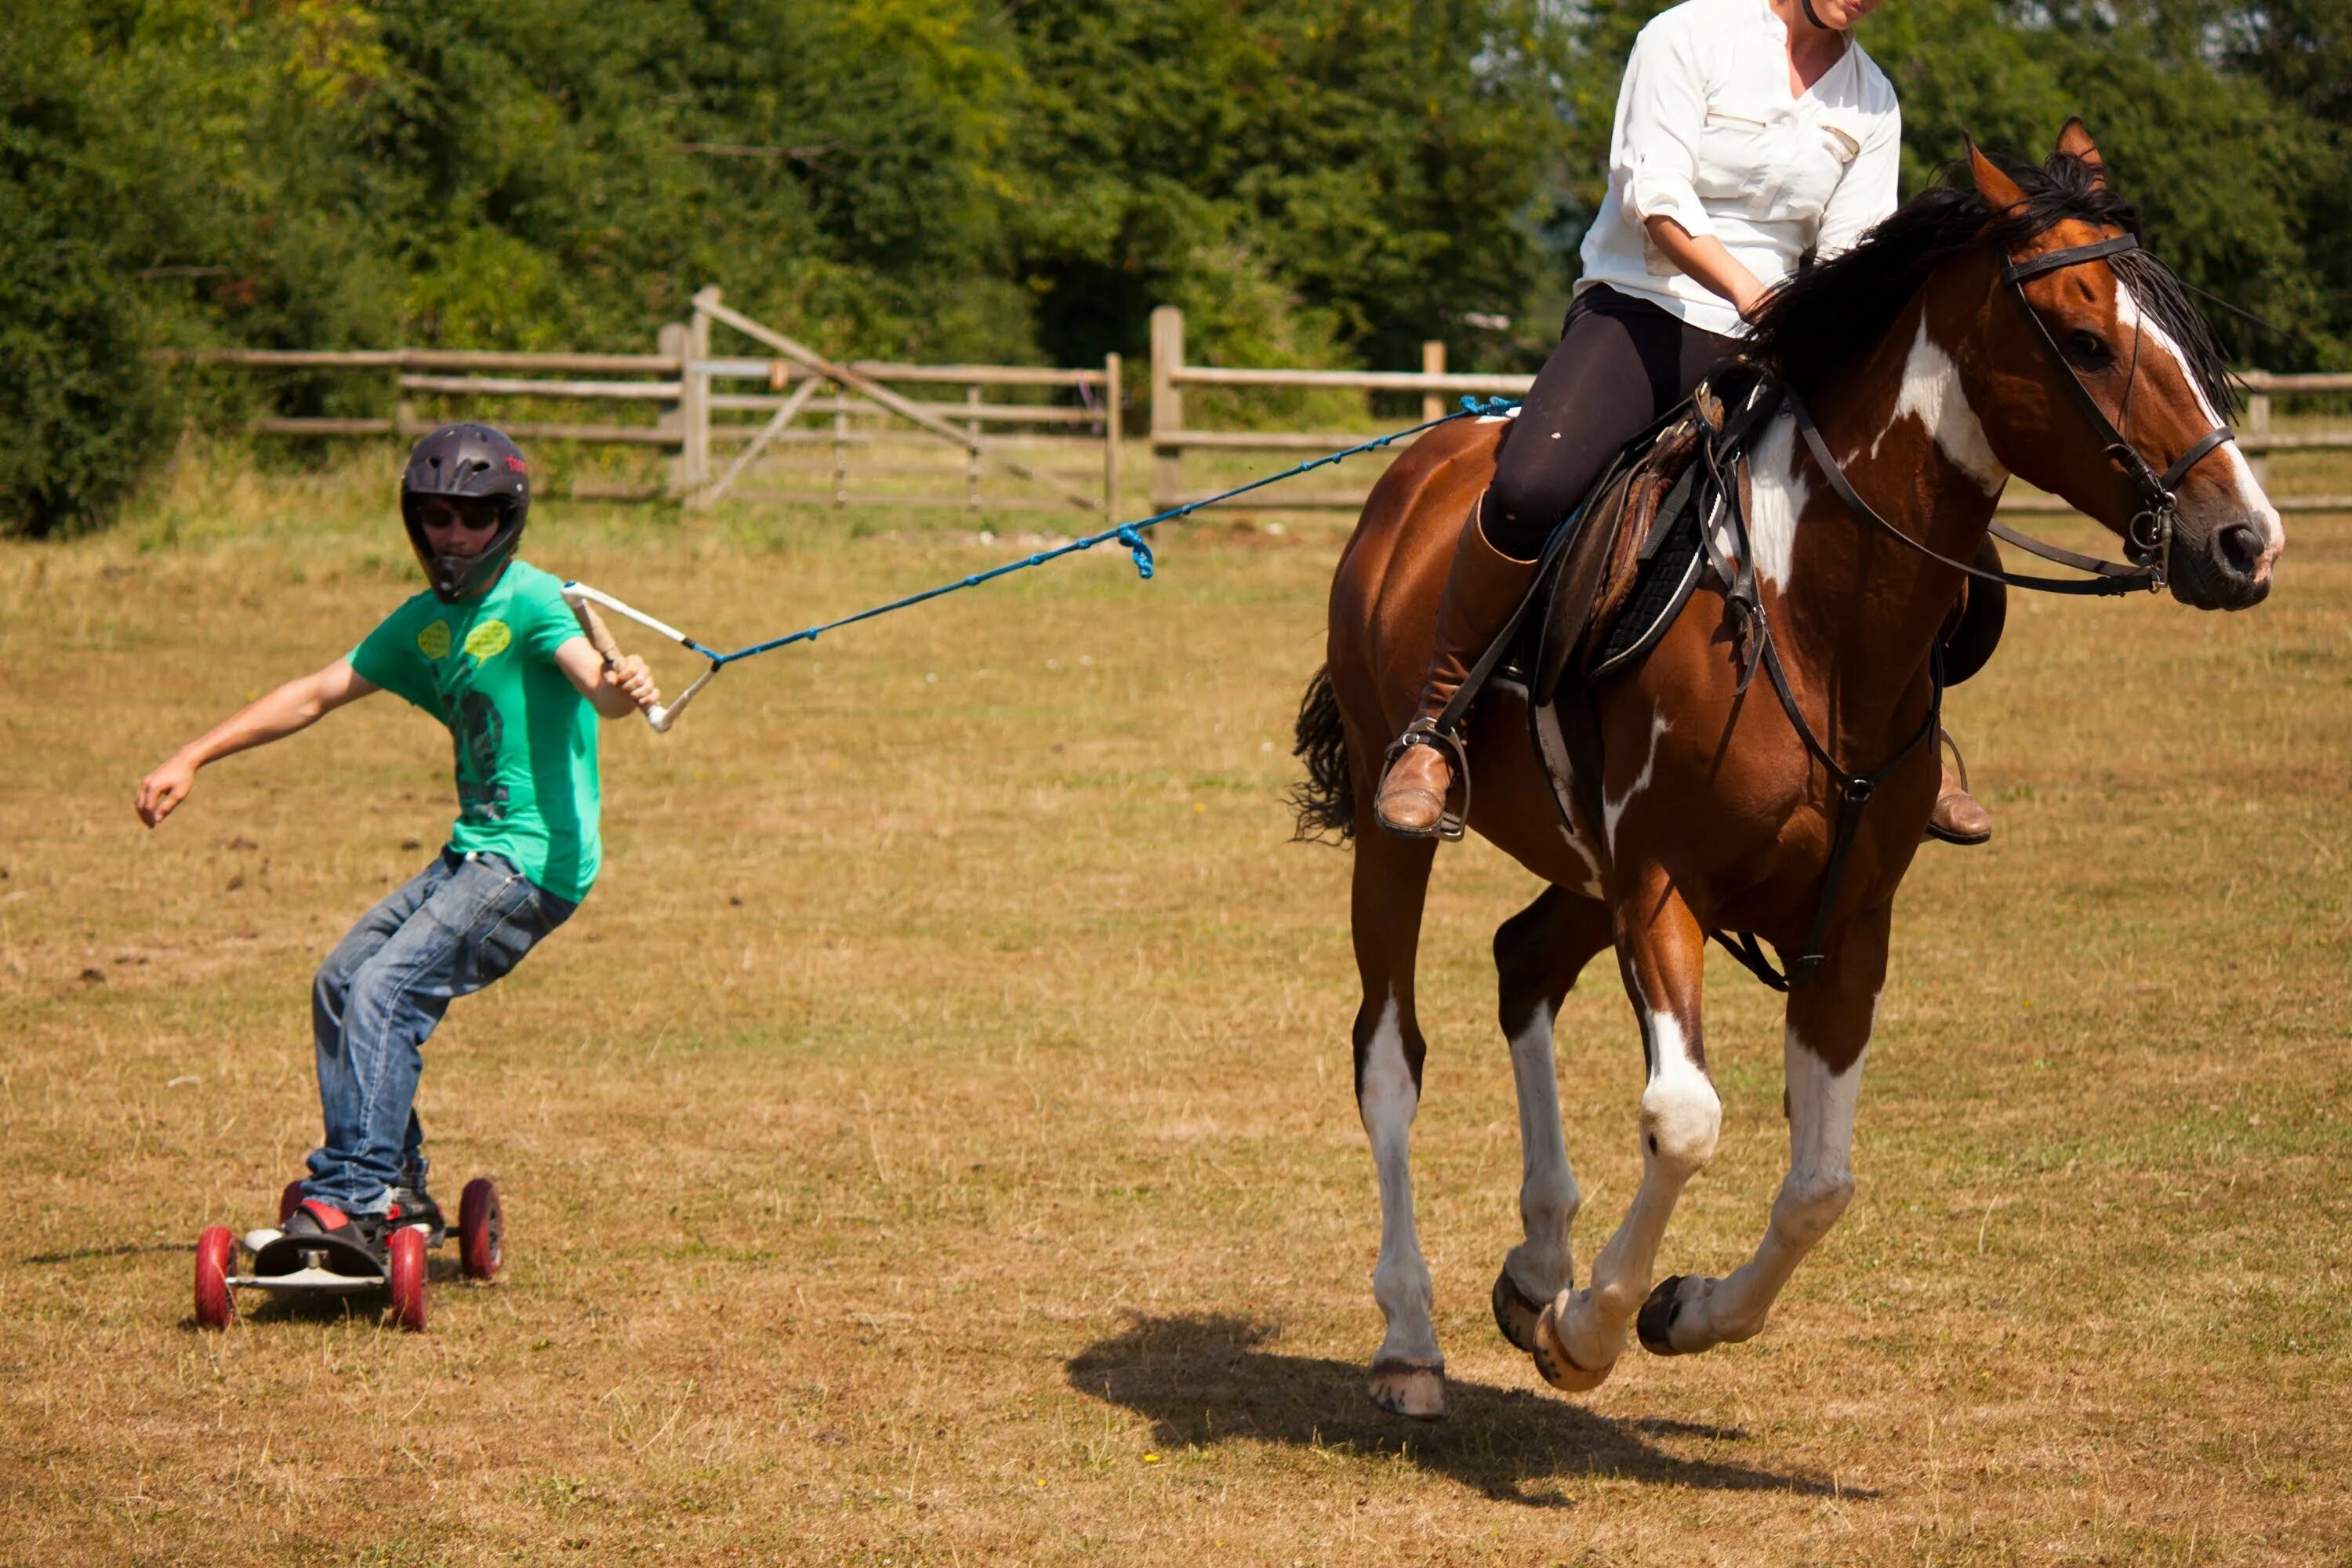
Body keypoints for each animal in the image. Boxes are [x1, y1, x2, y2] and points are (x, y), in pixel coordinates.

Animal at [1298, 125, 2286, 1420]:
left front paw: (1671, 1310)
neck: (1807, 614)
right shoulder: (1662, 888)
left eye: (2189, 333)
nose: (2246, 542)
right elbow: (1684, 1122)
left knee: (1522, 965)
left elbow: (1822, 1183)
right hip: (1398, 835)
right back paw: (1412, 1338)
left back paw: (1536, 1262)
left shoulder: (1847, 921)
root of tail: (1414, 481)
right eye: (2082, 337)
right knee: (1388, 1056)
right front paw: (1590, 1330)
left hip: (1584, 868)